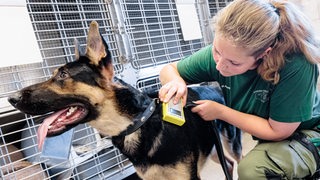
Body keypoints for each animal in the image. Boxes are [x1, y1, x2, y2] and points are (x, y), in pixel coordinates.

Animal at [8, 21, 241, 180]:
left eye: (63, 75)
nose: (12, 98)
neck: (137, 124)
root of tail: (214, 89)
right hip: (214, 150)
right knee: (228, 165)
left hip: (230, 145)